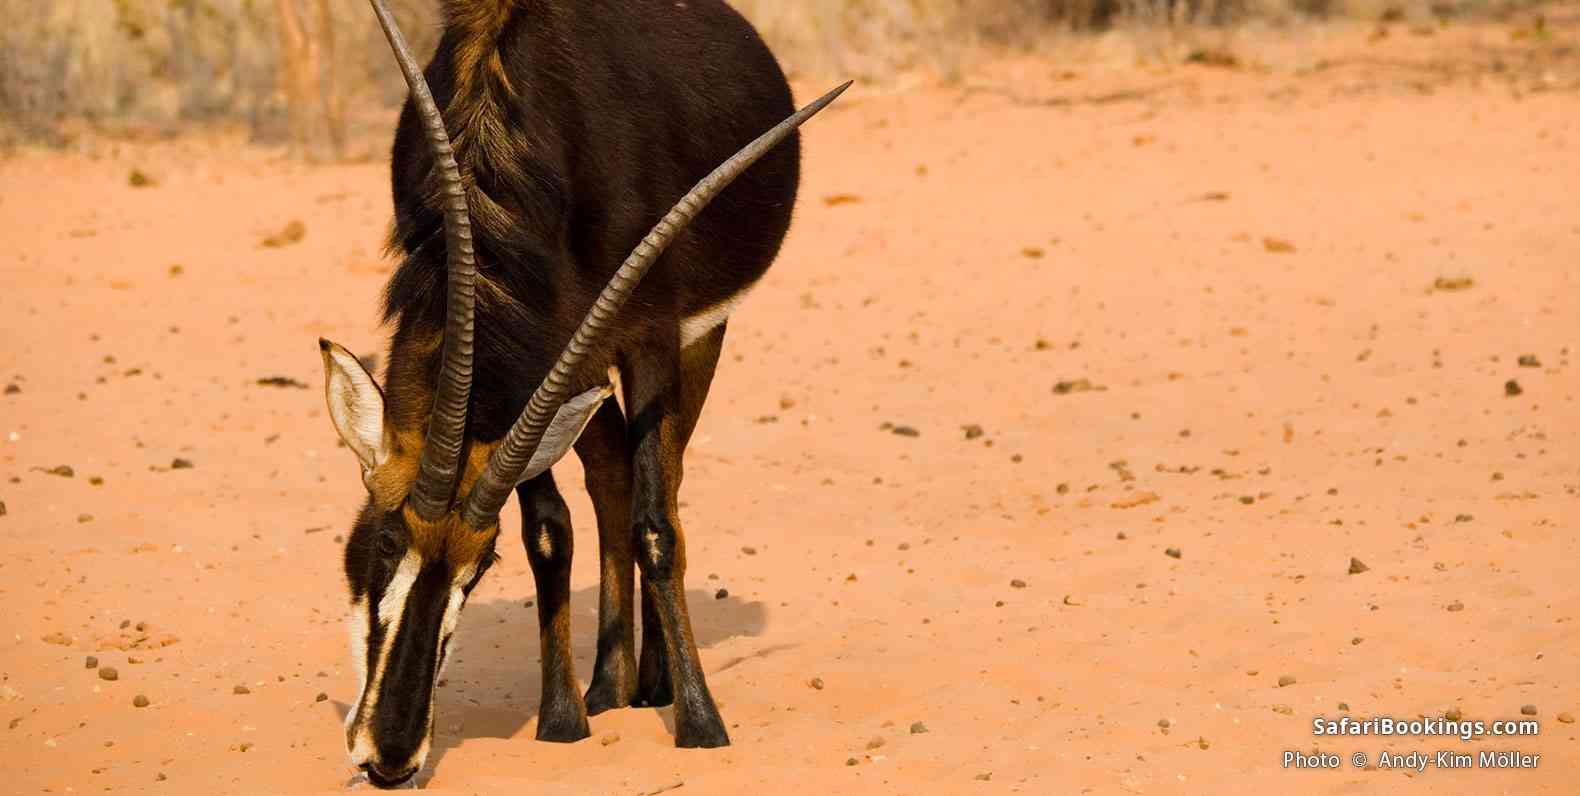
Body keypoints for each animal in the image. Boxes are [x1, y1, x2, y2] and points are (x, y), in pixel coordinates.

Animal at [319, 0, 847, 787]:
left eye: (479, 568)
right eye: (384, 539)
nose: (388, 756)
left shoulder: (653, 333)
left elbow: (656, 525)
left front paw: (700, 722)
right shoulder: (541, 359)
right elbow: (549, 529)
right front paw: (563, 717)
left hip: (690, 338)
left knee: (661, 483)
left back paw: (654, 682)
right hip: (588, 368)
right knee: (610, 476)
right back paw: (608, 684)